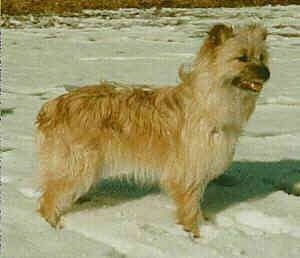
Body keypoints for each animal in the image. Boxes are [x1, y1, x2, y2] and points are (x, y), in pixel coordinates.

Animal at [36, 23, 270, 238]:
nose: (267, 73)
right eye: (242, 58)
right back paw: (50, 229)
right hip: (77, 164)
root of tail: (52, 106)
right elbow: (189, 207)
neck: (208, 100)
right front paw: (193, 234)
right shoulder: (188, 173)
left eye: (262, 57)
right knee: (48, 199)